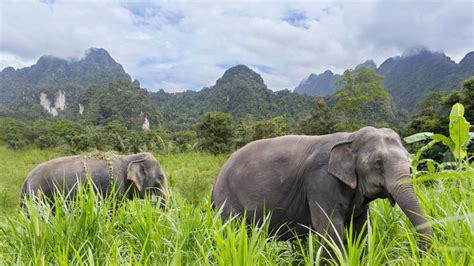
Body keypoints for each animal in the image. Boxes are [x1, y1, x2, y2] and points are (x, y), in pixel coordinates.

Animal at [213, 127, 432, 249]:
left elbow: (360, 229)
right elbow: (329, 229)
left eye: (409, 161)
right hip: (227, 201)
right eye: (378, 162)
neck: (351, 136)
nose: (420, 253)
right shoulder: (320, 181)